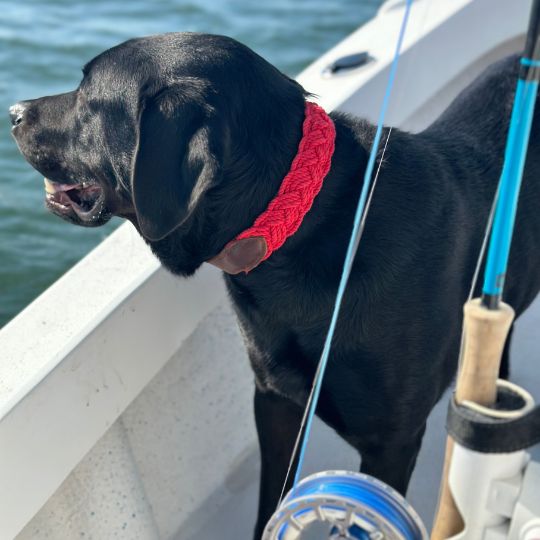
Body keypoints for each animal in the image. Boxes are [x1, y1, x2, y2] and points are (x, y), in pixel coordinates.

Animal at [10, 34, 540, 540]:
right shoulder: (275, 398)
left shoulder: (393, 441)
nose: (13, 112)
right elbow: (272, 498)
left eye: (89, 97)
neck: (307, 224)